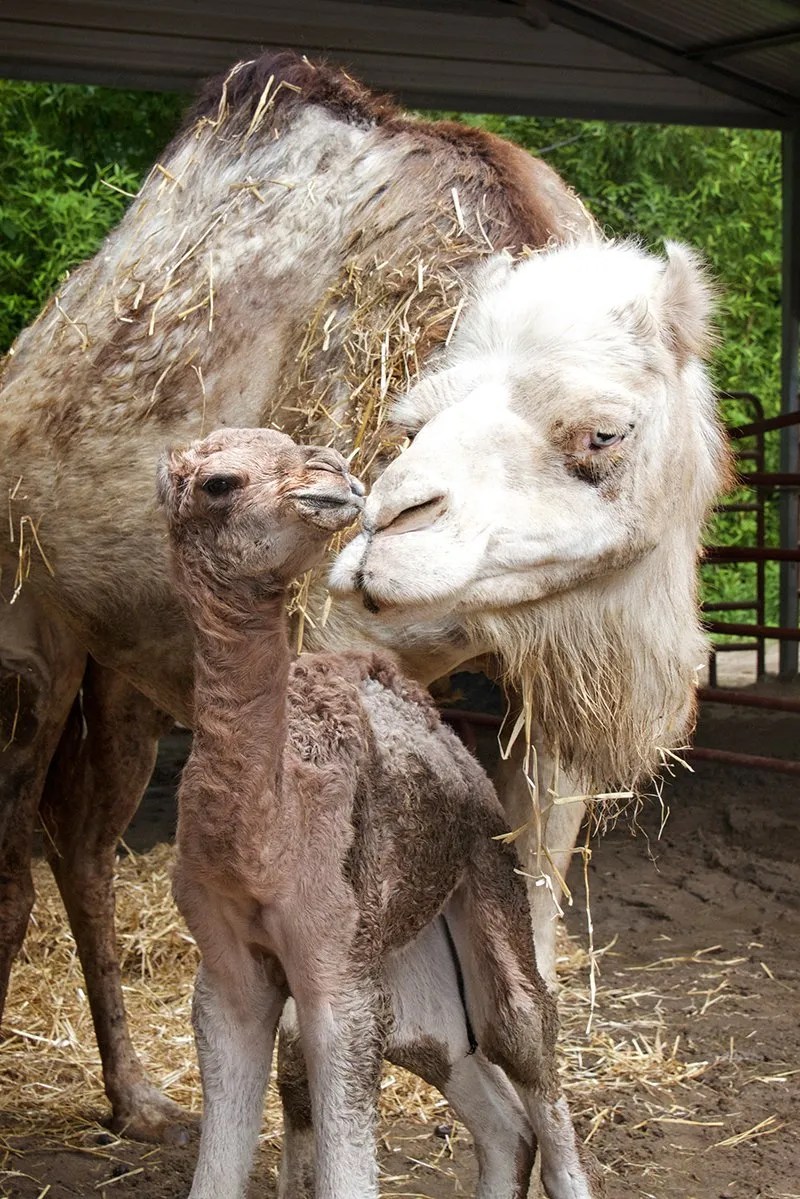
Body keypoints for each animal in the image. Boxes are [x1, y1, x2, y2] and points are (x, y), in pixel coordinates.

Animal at [160, 425, 601, 1199]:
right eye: (220, 482)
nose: (336, 475)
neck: (262, 847)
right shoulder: (228, 970)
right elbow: (223, 1157)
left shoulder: (337, 970)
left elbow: (345, 1157)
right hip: (409, 959)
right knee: (476, 1088)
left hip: (487, 873)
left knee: (522, 1029)